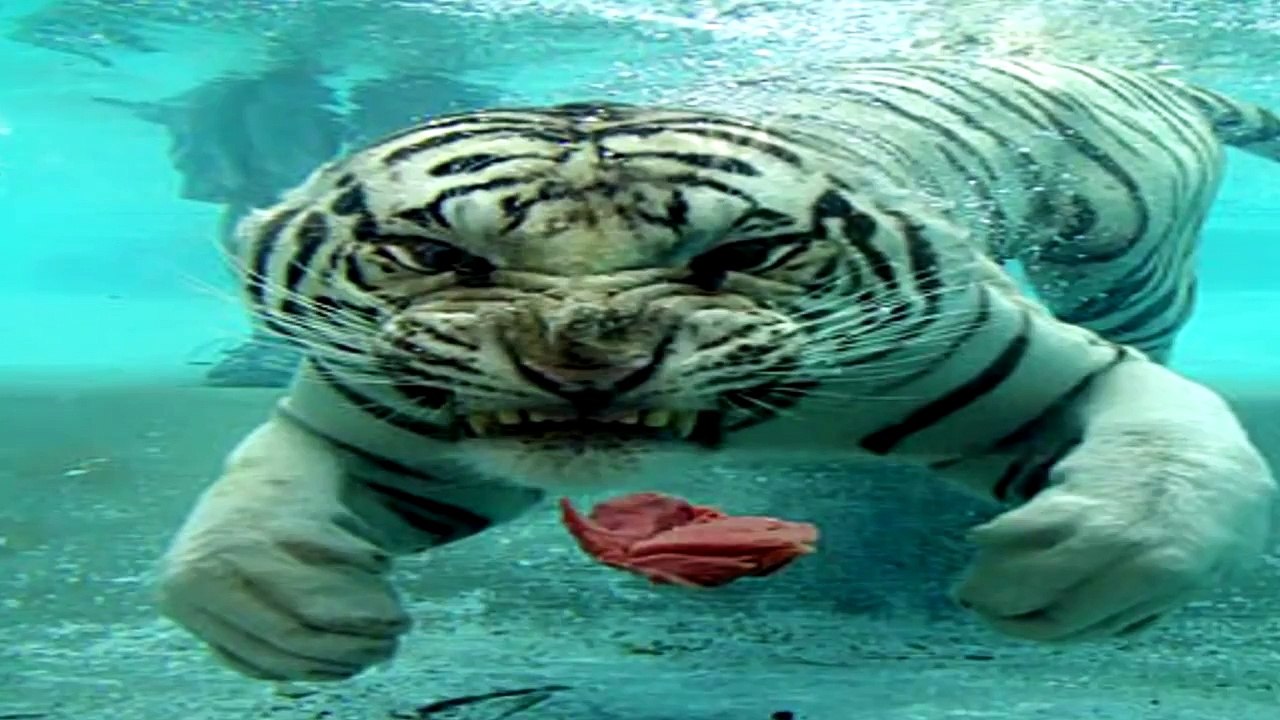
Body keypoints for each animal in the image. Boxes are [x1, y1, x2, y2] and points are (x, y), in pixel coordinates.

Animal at [156, 58, 1280, 682]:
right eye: (433, 254)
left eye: (743, 253)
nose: (586, 358)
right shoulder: (380, 437)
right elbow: (237, 512)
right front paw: (283, 611)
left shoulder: (1041, 367)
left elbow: (1168, 459)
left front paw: (1071, 566)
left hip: (1125, 268)